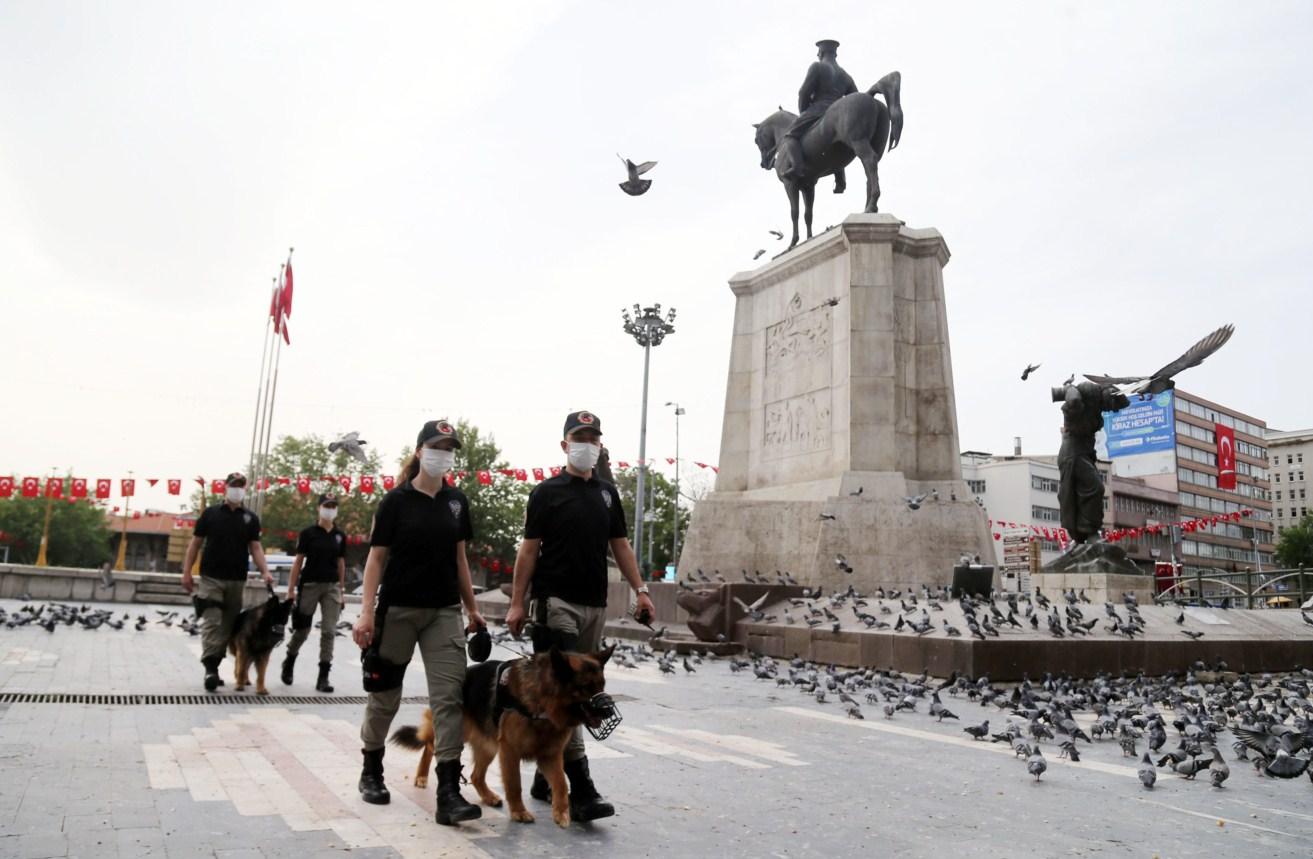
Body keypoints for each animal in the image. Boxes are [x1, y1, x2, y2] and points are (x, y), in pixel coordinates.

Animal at [388, 646, 614, 830]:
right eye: (585, 686)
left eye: (602, 684)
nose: (609, 710)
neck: (541, 701)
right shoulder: (510, 752)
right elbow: (514, 784)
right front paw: (519, 812)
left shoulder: (549, 756)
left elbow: (561, 783)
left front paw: (561, 813)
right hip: (456, 732)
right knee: (429, 746)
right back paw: (422, 776)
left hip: (488, 747)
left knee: (476, 775)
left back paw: (488, 796)